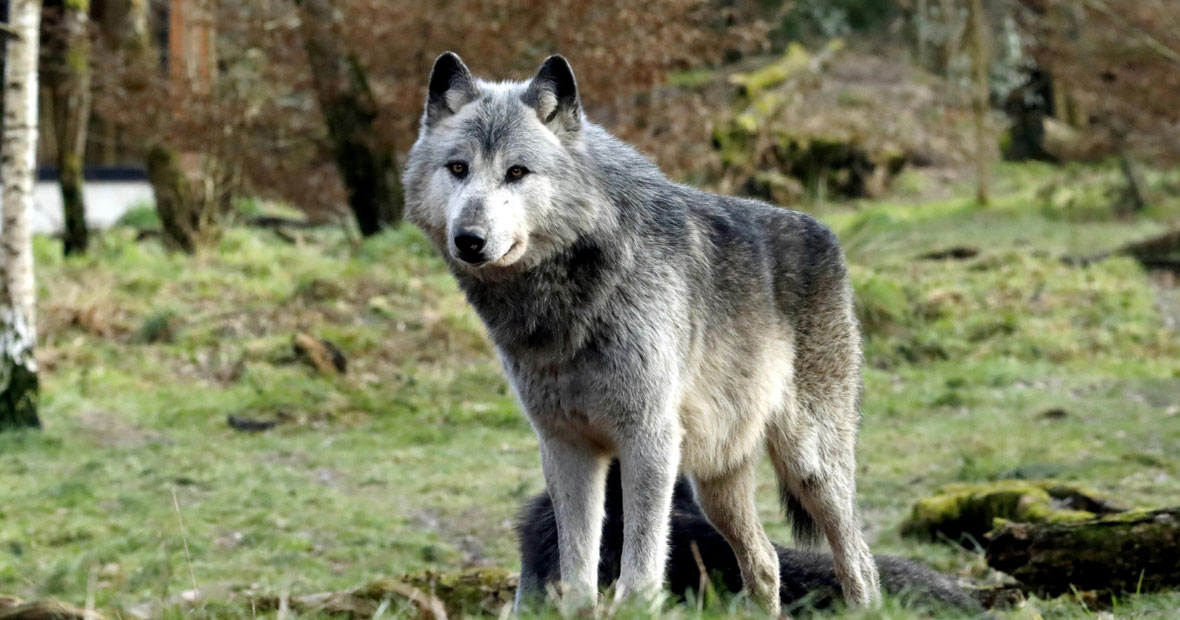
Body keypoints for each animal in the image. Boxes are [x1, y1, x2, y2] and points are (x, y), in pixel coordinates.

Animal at [402, 52, 880, 614]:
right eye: (458, 168)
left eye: (516, 172)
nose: (469, 239)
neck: (571, 302)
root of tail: (825, 230)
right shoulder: (565, 445)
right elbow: (578, 575)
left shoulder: (648, 437)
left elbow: (641, 572)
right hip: (716, 481)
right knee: (765, 562)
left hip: (810, 465)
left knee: (860, 563)